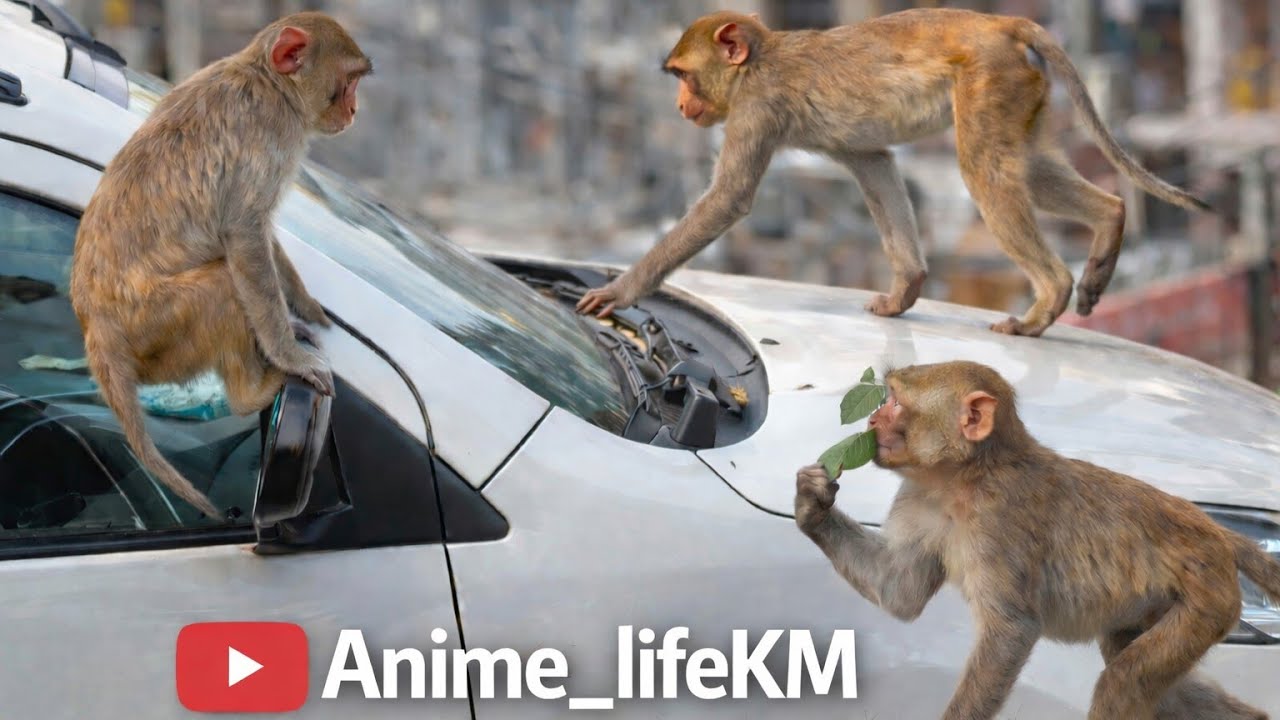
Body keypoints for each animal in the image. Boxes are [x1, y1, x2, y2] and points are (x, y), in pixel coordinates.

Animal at [68, 12, 372, 518]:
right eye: (348, 81)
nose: (354, 111)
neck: (269, 80)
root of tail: (97, 331)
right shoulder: (272, 135)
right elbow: (245, 235)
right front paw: (288, 353)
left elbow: (262, 236)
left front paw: (304, 305)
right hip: (156, 325)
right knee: (223, 285)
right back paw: (253, 392)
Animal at [576, 9, 1209, 337]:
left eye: (684, 75)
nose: (681, 105)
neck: (760, 61)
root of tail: (1001, 23)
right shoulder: (844, 142)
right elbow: (875, 164)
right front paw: (905, 291)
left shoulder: (757, 108)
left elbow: (728, 198)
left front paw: (620, 290)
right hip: (1020, 92)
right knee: (1027, 166)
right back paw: (1109, 225)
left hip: (989, 81)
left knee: (985, 170)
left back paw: (1046, 301)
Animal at [793, 360, 1277, 720]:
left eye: (894, 402)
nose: (873, 419)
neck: (964, 478)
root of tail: (1216, 534)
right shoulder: (918, 498)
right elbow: (899, 592)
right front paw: (812, 503)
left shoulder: (999, 523)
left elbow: (1012, 629)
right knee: (1143, 671)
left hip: (1207, 599)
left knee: (1123, 680)